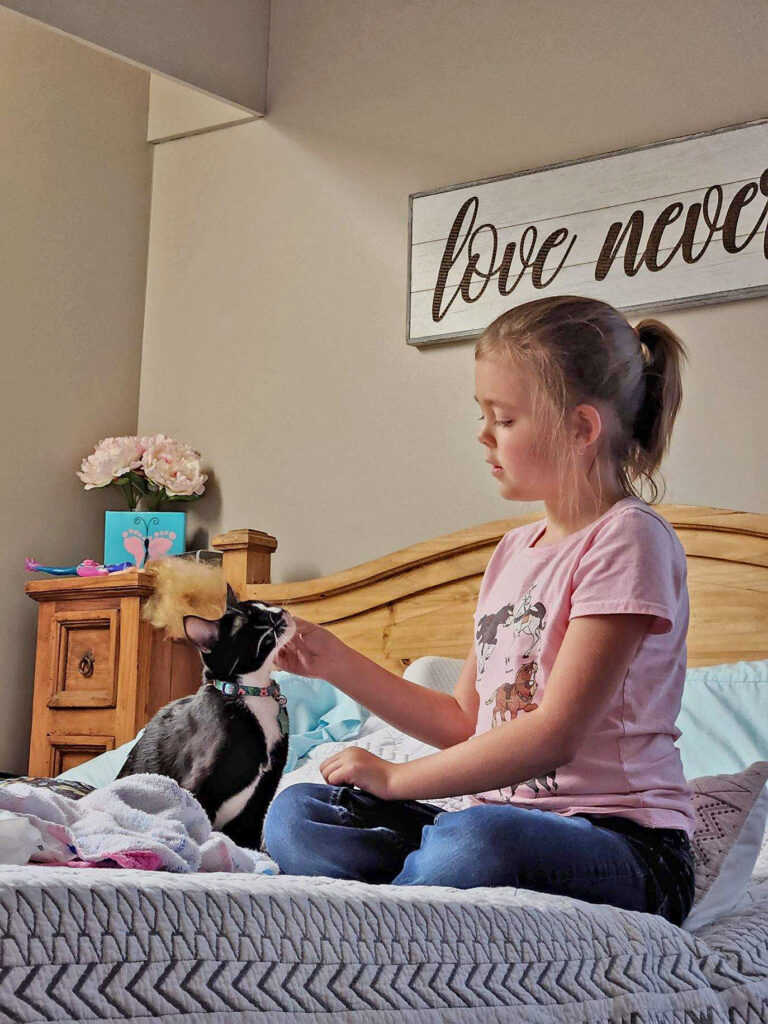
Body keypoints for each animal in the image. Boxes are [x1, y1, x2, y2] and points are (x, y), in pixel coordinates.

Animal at [118, 589, 296, 851]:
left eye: (266, 604)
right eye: (258, 622)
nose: (280, 611)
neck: (251, 694)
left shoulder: (263, 794)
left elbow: (250, 836)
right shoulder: (198, 784)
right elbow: (198, 823)